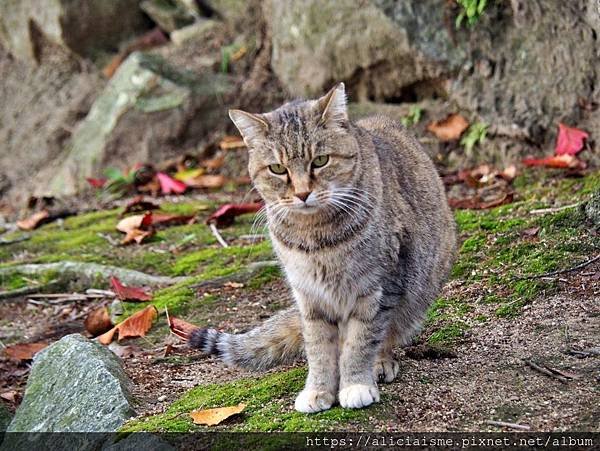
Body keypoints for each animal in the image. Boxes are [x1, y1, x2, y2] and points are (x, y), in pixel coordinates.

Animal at [190, 84, 458, 414]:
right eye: (277, 169)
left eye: (320, 161)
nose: (302, 193)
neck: (315, 236)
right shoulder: (310, 297)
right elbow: (319, 348)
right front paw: (318, 390)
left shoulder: (378, 287)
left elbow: (361, 341)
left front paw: (355, 384)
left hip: (416, 291)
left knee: (389, 333)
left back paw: (380, 363)